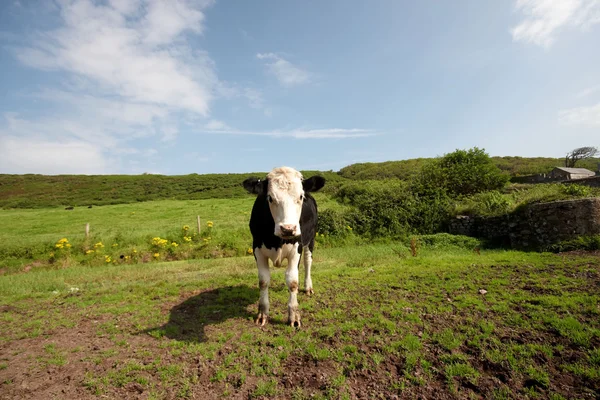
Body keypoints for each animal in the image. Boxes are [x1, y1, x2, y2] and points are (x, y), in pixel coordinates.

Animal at [241, 167, 326, 326]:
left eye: (300, 196)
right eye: (270, 198)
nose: (287, 229)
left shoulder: (297, 248)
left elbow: (292, 282)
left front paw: (294, 316)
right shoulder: (257, 248)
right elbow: (263, 281)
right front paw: (262, 314)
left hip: (311, 238)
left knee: (308, 261)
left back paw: (308, 287)